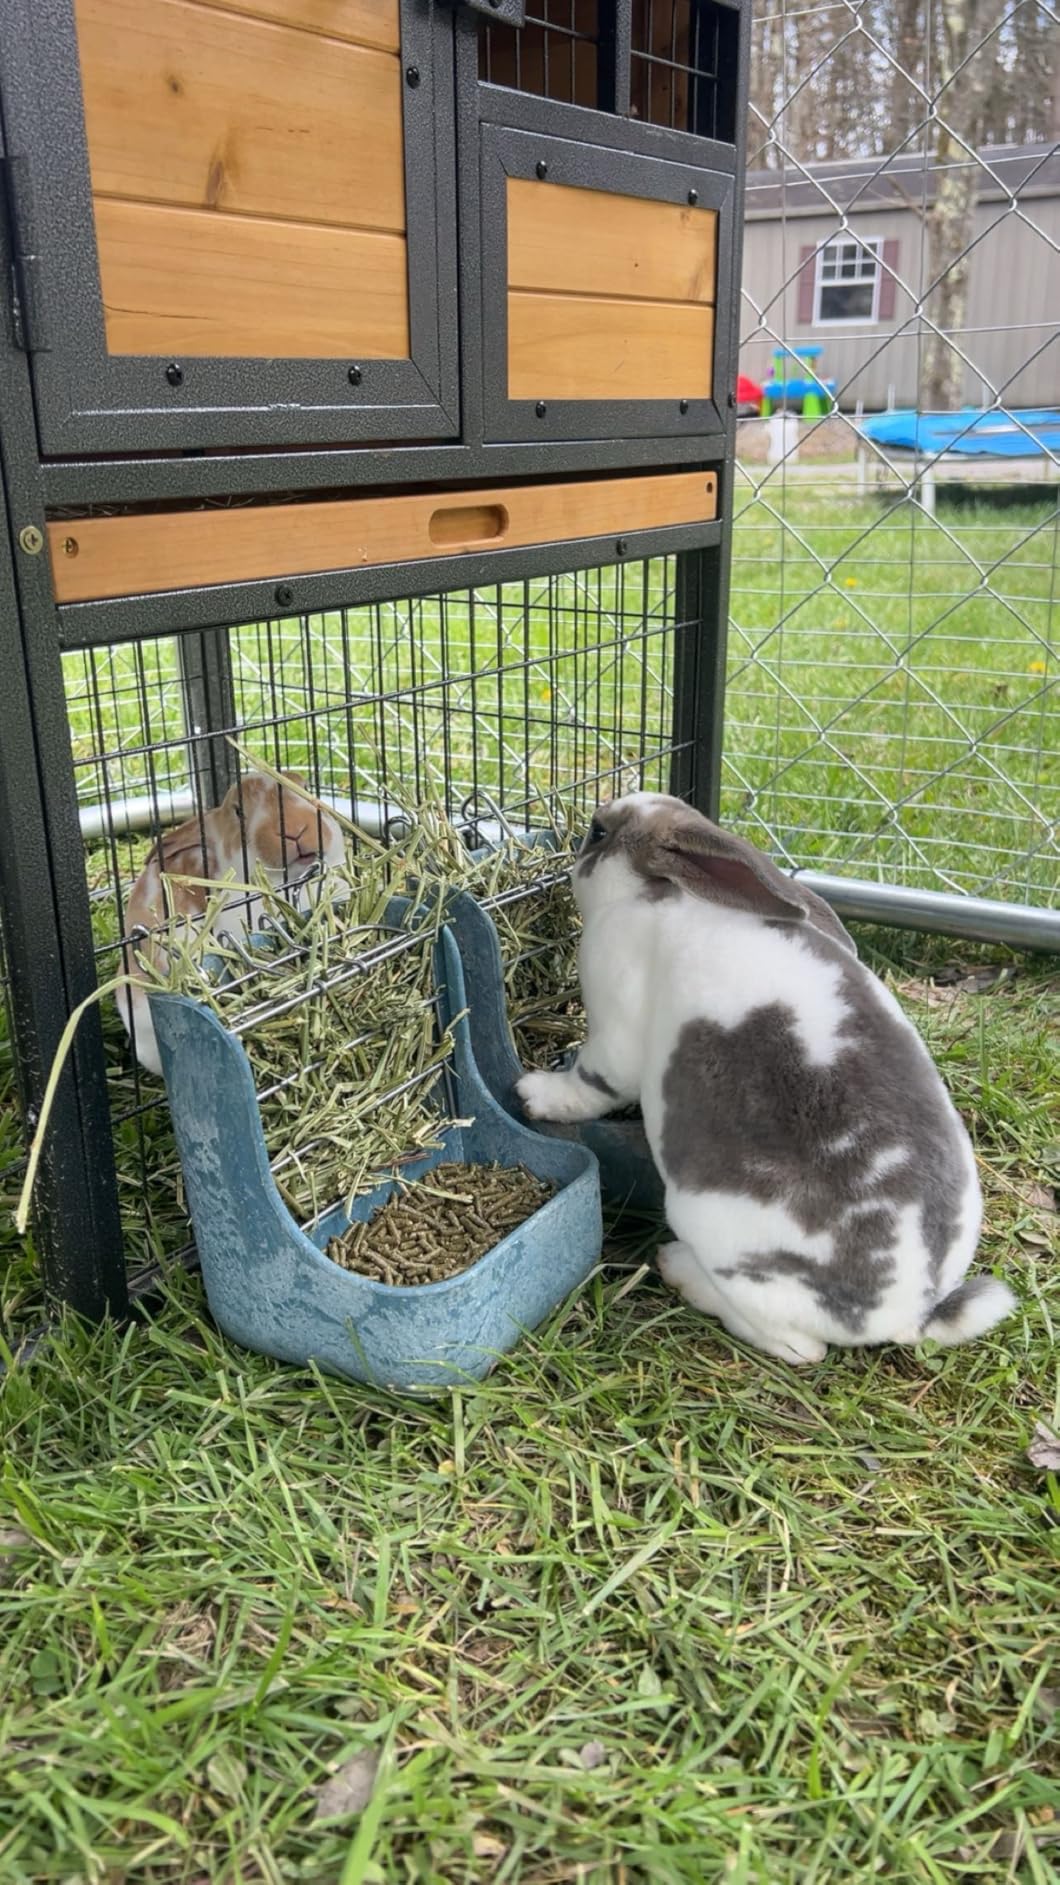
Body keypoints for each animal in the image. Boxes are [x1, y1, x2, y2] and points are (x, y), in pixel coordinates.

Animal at [516, 792, 1015, 1365]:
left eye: (599, 833)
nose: (588, 826)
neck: (665, 894)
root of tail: (907, 1315)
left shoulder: (615, 1026)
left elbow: (591, 1083)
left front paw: (533, 1093)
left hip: (716, 1236)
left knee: (799, 1348)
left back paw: (680, 1270)